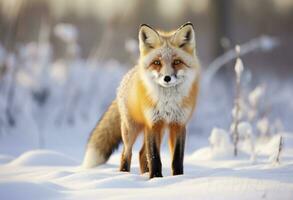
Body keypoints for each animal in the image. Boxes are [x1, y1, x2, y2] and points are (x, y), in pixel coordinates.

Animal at [83, 22, 200, 178]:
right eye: (157, 62)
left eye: (176, 62)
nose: (167, 78)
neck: (167, 102)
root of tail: (129, 74)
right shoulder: (153, 123)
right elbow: (154, 157)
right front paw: (156, 178)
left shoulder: (178, 124)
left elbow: (176, 158)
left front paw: (177, 177)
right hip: (130, 129)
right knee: (126, 153)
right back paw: (125, 175)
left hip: (160, 130)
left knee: (141, 154)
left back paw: (144, 174)